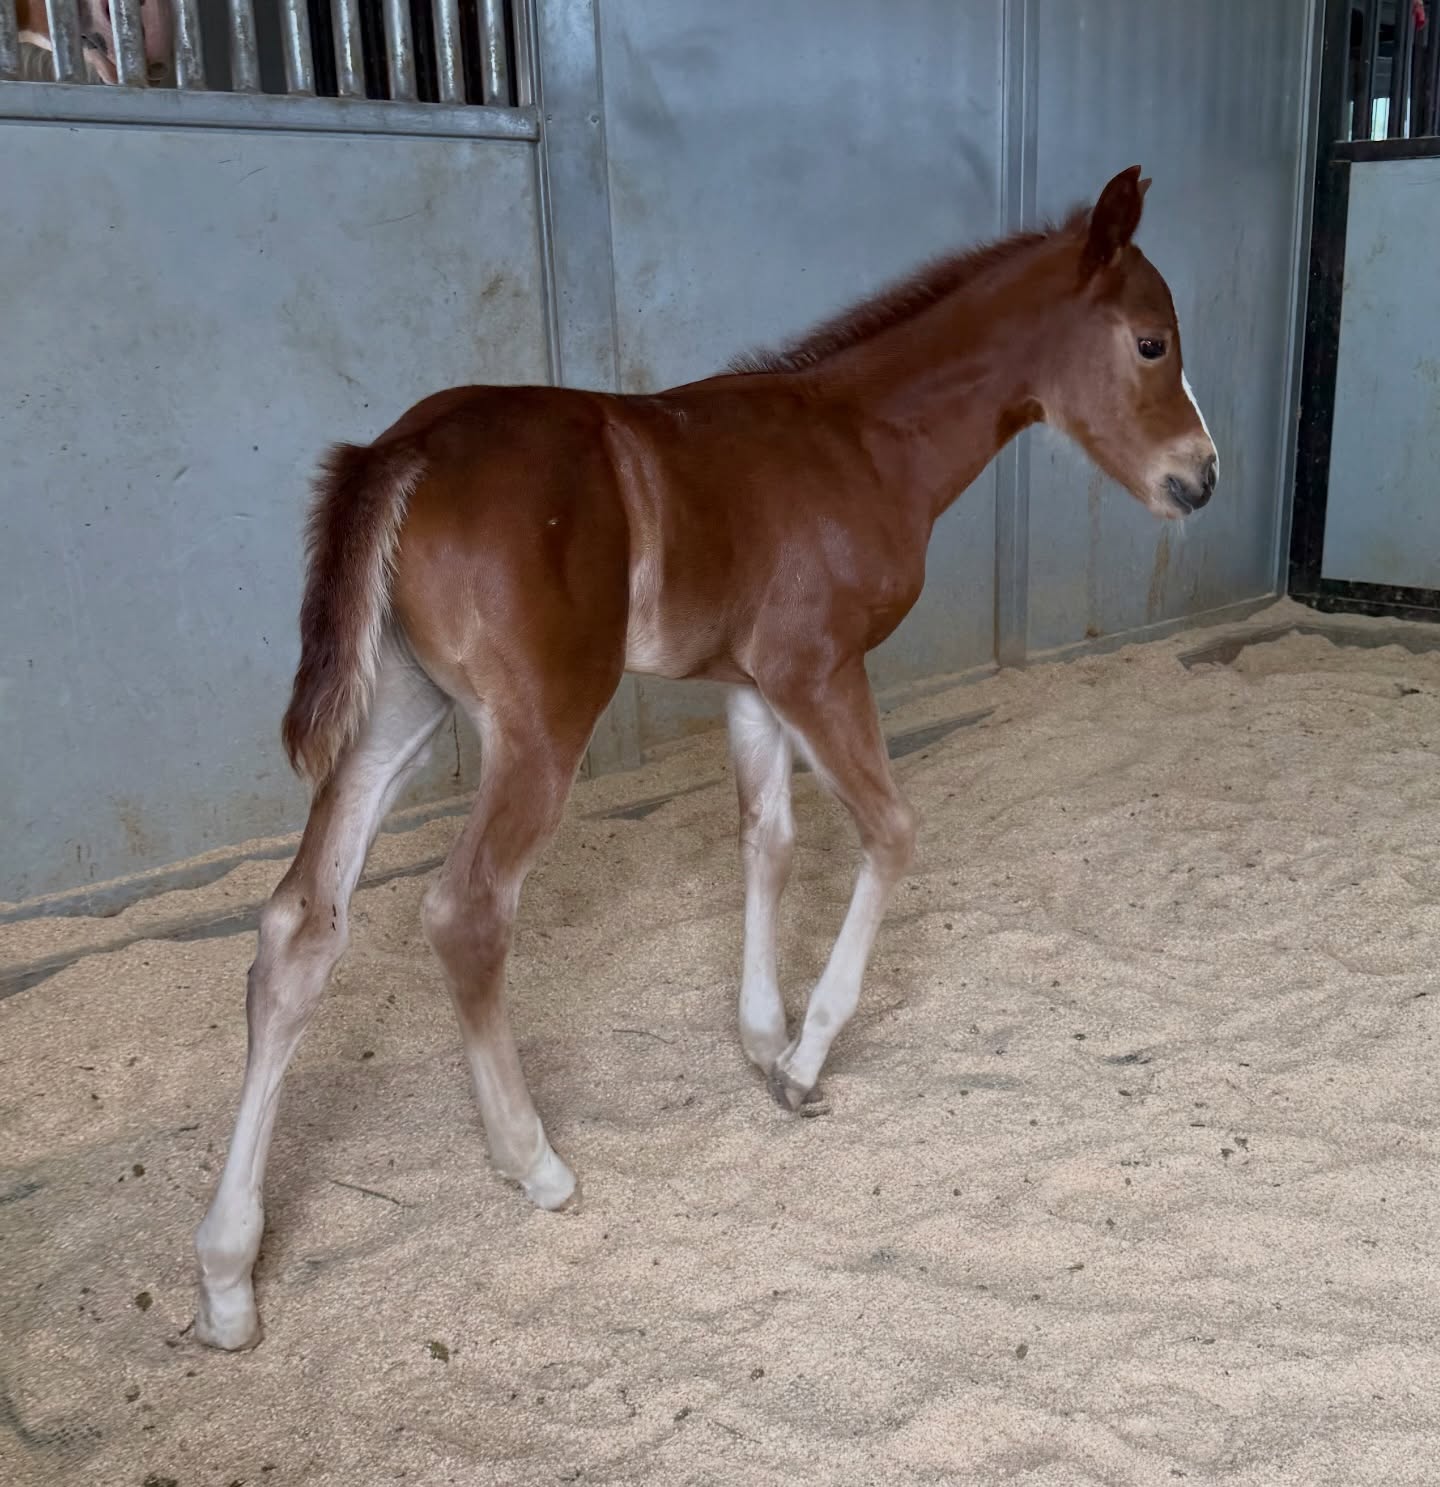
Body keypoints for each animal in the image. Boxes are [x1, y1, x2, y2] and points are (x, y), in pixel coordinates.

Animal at [193, 165, 1218, 1350]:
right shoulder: (819, 668)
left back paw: (227, 1273)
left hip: (402, 710)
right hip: (540, 722)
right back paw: (535, 1162)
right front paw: (806, 1061)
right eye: (1151, 342)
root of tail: (401, 448)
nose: (1201, 479)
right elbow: (891, 831)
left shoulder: (752, 685)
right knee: (465, 910)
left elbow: (766, 840)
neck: (864, 438)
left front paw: (761, 1039)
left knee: (299, 925)